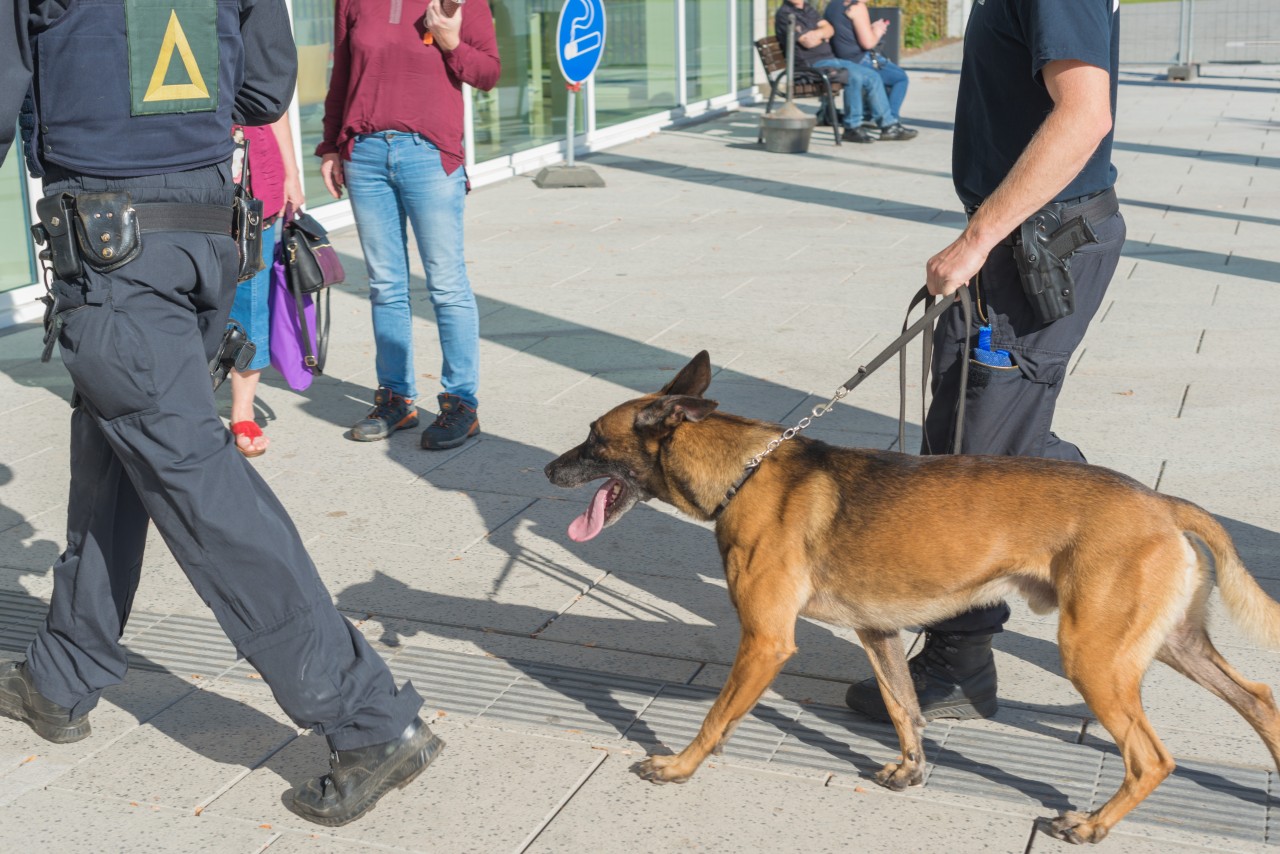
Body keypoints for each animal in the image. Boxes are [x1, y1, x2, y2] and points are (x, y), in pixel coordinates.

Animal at [545, 350, 1280, 845]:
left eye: (592, 438)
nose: (548, 469)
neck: (744, 474)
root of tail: (1162, 502)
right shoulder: (880, 635)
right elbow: (905, 709)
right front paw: (911, 770)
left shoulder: (764, 642)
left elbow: (716, 718)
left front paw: (679, 767)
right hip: (1173, 645)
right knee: (1259, 699)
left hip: (1094, 657)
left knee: (1151, 758)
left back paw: (1093, 825)